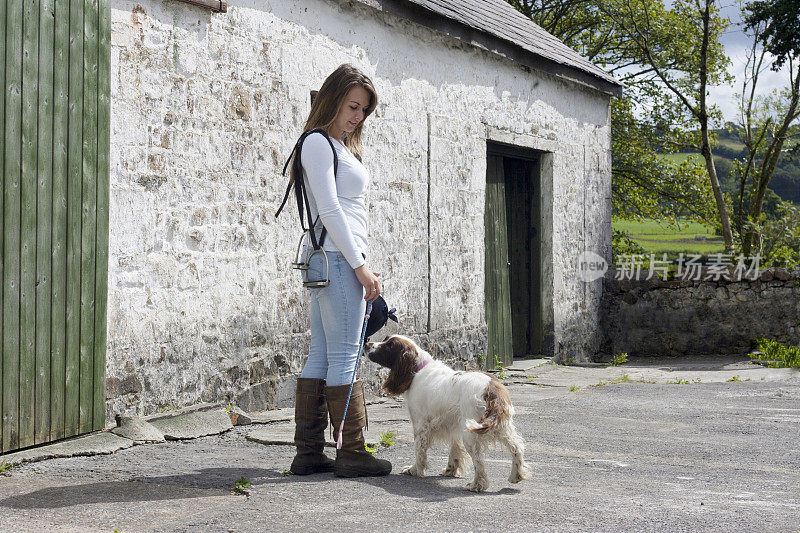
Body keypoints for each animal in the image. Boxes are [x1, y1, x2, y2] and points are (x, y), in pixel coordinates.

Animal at [368, 332, 532, 490]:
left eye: (389, 345)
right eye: (385, 339)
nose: (367, 344)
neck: (418, 369)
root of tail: (491, 388)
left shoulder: (421, 424)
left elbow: (419, 450)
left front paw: (415, 470)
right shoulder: (454, 427)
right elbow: (455, 450)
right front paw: (450, 470)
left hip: (471, 433)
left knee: (479, 460)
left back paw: (477, 485)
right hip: (502, 427)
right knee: (516, 447)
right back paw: (516, 475)